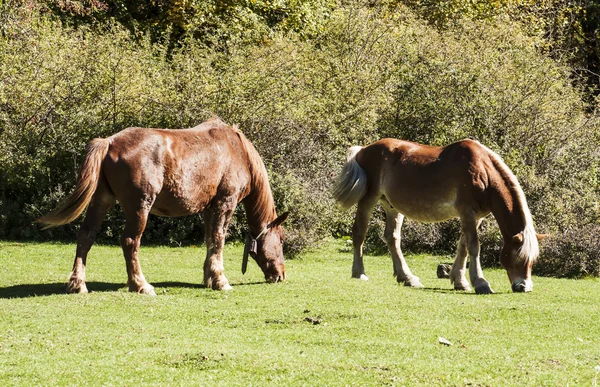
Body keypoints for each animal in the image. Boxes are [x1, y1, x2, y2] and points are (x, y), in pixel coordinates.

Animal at [38, 117, 290, 294]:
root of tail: (109, 142)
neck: (237, 150)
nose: (280, 275)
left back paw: (78, 284)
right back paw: (140, 284)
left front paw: (209, 277)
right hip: (140, 207)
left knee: (86, 235)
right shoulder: (224, 203)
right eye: (281, 239)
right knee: (130, 241)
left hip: (101, 200)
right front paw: (221, 280)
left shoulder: (209, 209)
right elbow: (218, 240)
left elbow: (210, 240)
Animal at [332, 139, 548, 294]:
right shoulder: (467, 212)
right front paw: (480, 283)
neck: (483, 171)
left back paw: (407, 278)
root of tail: (363, 150)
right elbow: (474, 247)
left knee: (392, 238)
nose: (524, 287)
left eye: (532, 260)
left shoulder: (475, 217)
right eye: (518, 257)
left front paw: (460, 281)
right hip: (368, 200)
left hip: (392, 207)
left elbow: (463, 247)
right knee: (359, 233)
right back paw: (359, 273)